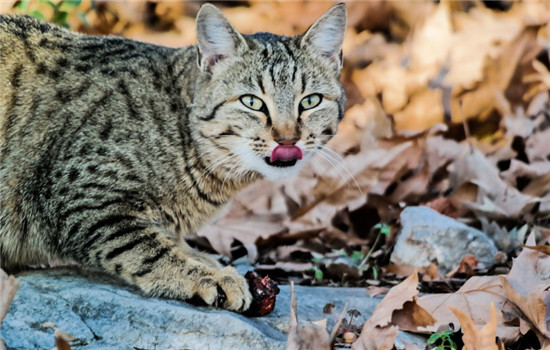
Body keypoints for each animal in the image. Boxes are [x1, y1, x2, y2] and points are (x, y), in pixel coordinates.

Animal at [0, 4, 348, 314]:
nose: (288, 139)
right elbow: (146, 249)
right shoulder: (80, 200)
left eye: (310, 101)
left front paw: (210, 262)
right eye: (252, 102)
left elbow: (172, 241)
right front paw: (206, 276)